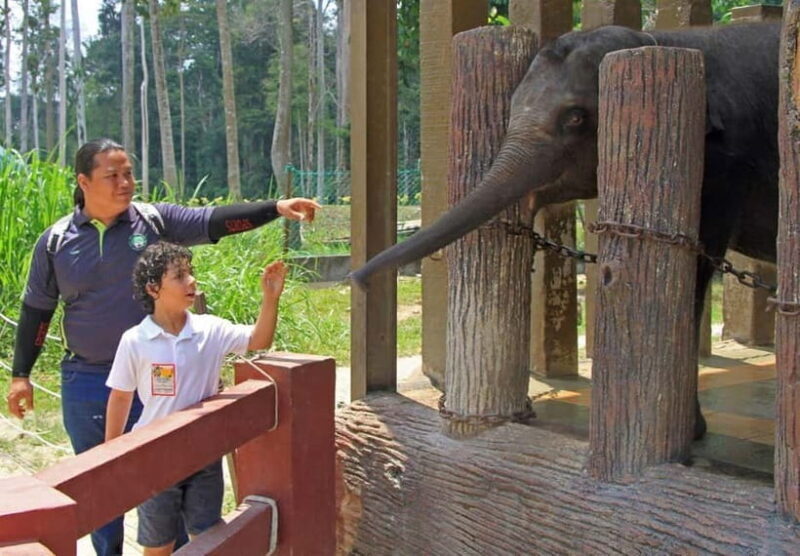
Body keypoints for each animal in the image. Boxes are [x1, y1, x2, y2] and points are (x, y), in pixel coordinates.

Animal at [349, 22, 782, 439]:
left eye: (575, 117)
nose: (358, 281)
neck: (663, 40)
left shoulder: (723, 168)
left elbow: (694, 273)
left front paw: (692, 433)